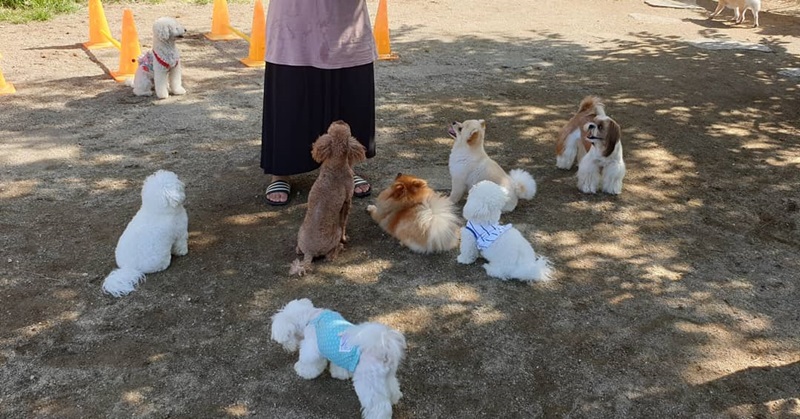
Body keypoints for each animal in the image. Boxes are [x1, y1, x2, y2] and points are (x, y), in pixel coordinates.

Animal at [272, 298, 406, 419]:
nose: (285, 347)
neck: (311, 317)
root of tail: (383, 349)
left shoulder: (312, 348)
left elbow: (310, 362)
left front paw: (302, 370)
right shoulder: (337, 354)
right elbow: (338, 366)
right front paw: (340, 374)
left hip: (369, 383)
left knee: (379, 406)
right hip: (386, 377)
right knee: (393, 389)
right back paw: (394, 398)